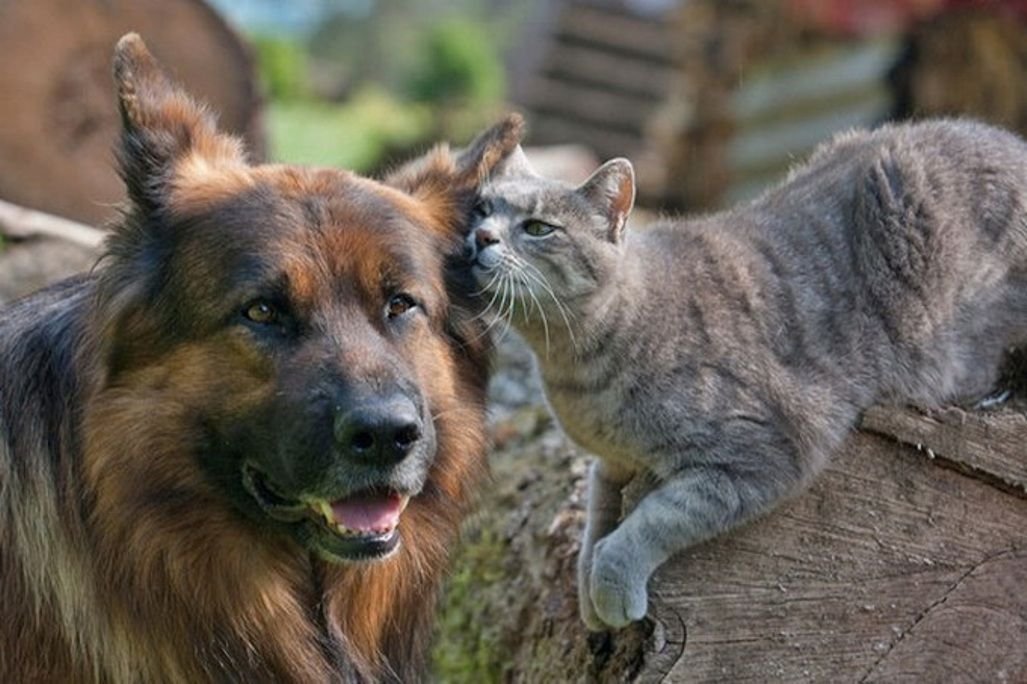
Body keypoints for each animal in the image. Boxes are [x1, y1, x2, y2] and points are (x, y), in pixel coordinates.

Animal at [464, 119, 1027, 632]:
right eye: (482, 211)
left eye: (538, 228)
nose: (480, 237)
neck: (573, 365)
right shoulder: (612, 461)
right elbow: (596, 518)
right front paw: (587, 594)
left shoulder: (761, 453)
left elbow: (653, 520)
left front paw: (612, 585)